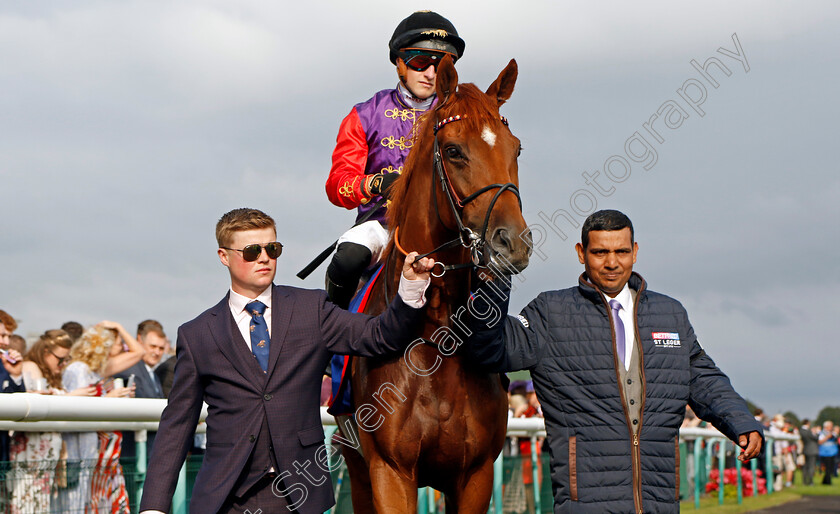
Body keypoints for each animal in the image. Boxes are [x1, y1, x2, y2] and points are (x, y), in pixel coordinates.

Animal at [340, 58, 532, 510]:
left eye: (516, 149)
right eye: (454, 150)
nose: (513, 243)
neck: (435, 341)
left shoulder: (474, 476)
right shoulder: (389, 473)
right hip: (356, 469)